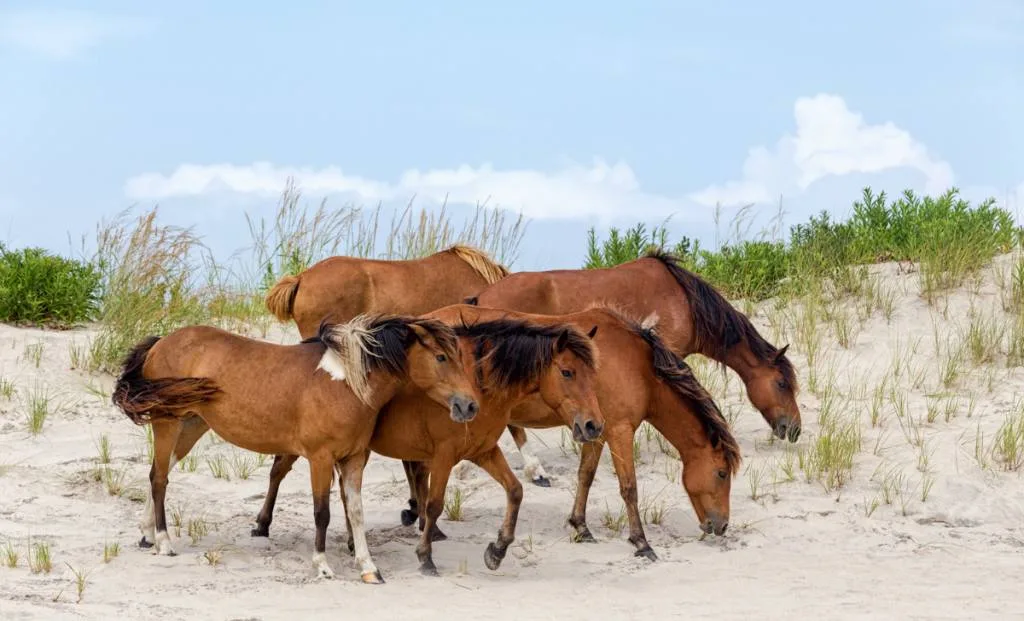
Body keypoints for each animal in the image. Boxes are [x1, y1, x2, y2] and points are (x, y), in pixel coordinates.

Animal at [110, 313, 478, 584]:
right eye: (441, 357)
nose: (469, 405)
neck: (346, 384)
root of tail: (161, 342)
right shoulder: (320, 458)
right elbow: (322, 513)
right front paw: (323, 565)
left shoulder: (354, 459)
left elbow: (356, 513)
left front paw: (369, 568)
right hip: (167, 423)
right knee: (159, 479)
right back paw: (164, 542)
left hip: (192, 425)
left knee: (157, 473)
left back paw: (146, 535)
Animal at [239, 304, 607, 576]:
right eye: (567, 372)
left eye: (593, 373)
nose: (593, 425)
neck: (479, 385)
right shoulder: (444, 454)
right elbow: (435, 502)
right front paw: (426, 556)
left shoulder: (484, 452)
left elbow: (515, 491)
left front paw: (497, 550)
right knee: (279, 470)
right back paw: (262, 525)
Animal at [401, 305, 741, 560]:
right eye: (722, 473)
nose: (722, 525)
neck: (638, 365)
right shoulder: (619, 431)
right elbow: (629, 488)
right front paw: (642, 543)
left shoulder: (596, 431)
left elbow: (585, 476)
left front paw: (581, 527)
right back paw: (428, 524)